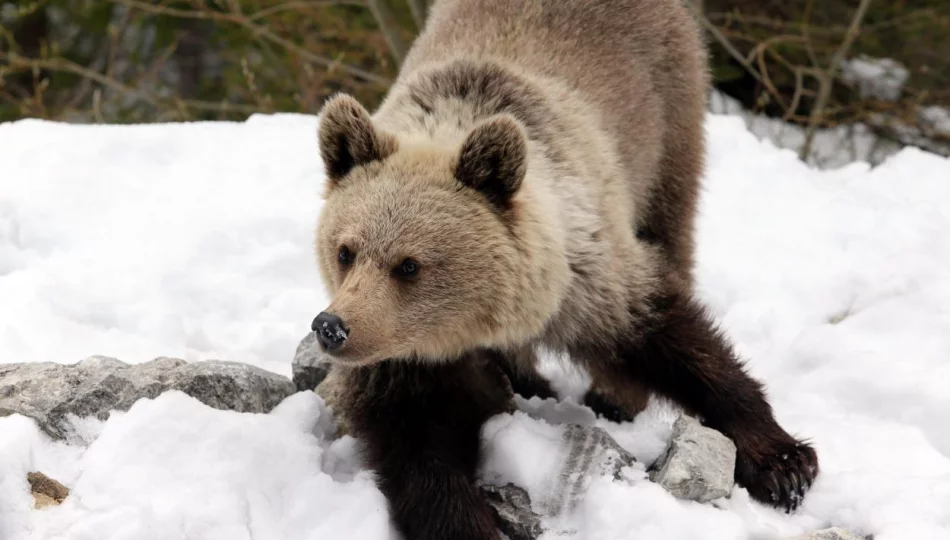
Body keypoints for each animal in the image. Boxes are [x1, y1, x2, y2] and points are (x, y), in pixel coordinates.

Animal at [310, 0, 820, 536]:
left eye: (409, 265)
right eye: (345, 250)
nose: (333, 326)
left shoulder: (588, 274)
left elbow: (672, 337)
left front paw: (784, 463)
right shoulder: (406, 357)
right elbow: (417, 441)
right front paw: (466, 518)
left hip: (668, 121)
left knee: (671, 230)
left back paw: (612, 397)